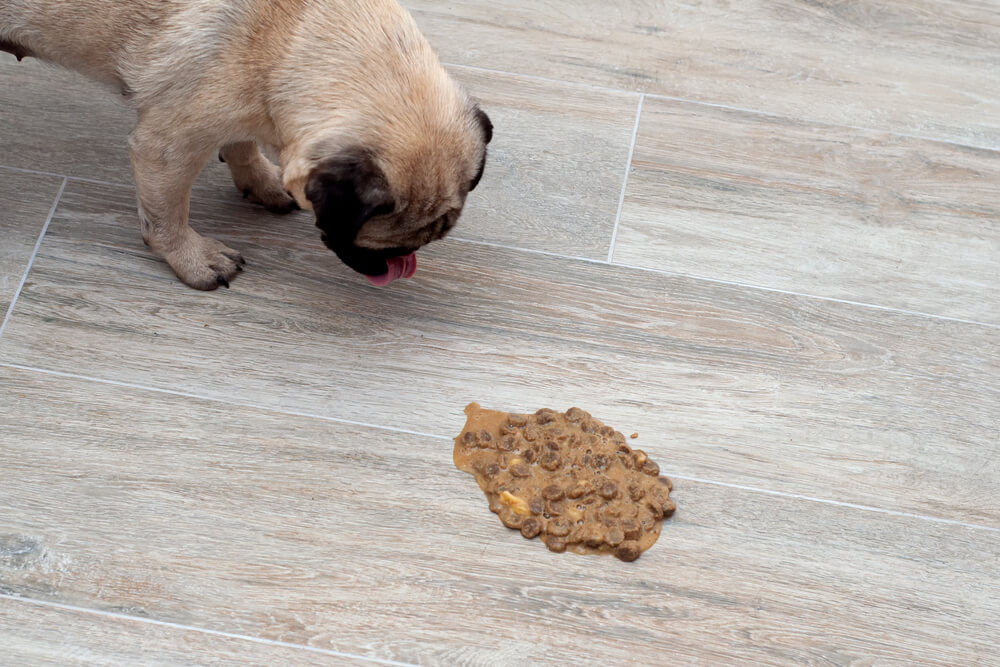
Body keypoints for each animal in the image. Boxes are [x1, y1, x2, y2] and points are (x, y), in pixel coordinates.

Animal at [0, 0, 492, 288]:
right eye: (377, 244)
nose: (403, 261)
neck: (288, 33)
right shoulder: (168, 145)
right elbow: (167, 215)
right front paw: (192, 257)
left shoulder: (243, 110)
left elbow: (242, 144)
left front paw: (261, 181)